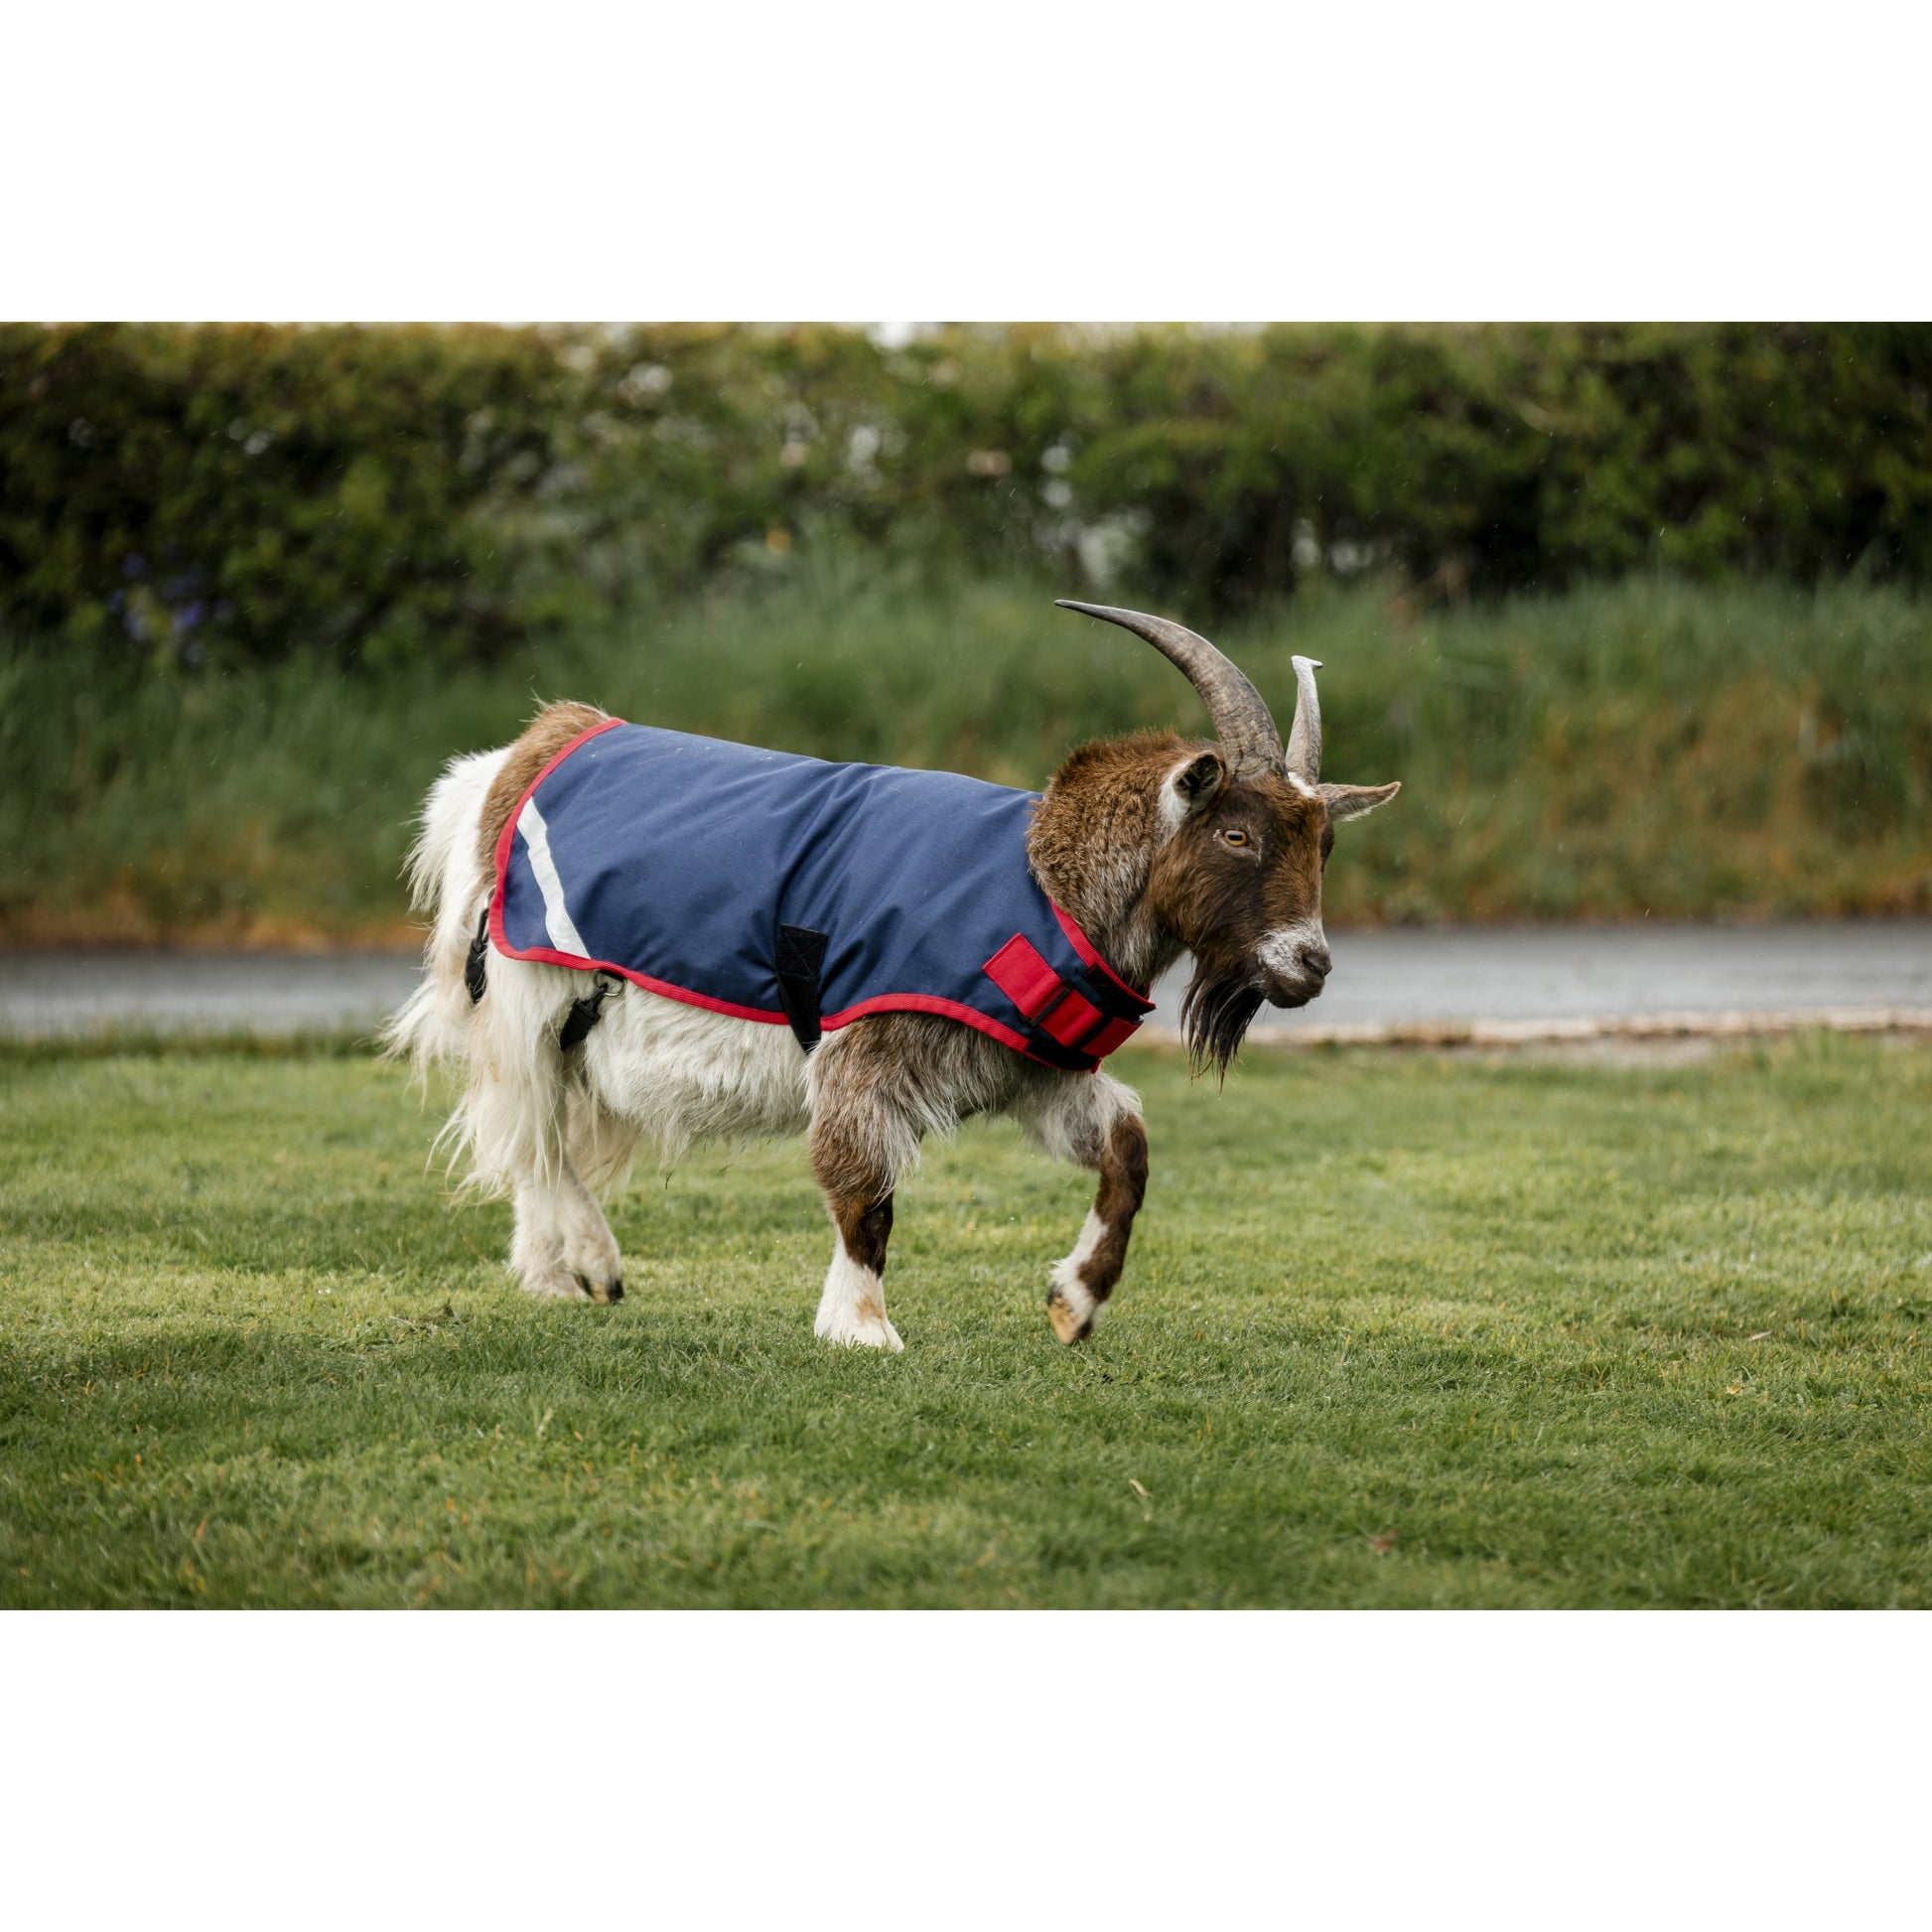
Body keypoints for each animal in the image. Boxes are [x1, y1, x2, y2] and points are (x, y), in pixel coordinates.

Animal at [386, 601, 1399, 1350]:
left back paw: (553, 1276)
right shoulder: (869, 1047)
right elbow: (861, 1187)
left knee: (537, 1127)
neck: (1045, 884)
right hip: (523, 989)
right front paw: (862, 1327)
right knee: (526, 1124)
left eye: (1325, 842)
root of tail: (519, 757)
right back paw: (593, 1261)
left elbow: (1127, 1149)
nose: (1308, 964)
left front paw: (1074, 1302)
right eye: (1236, 834)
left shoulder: (1028, 1068)